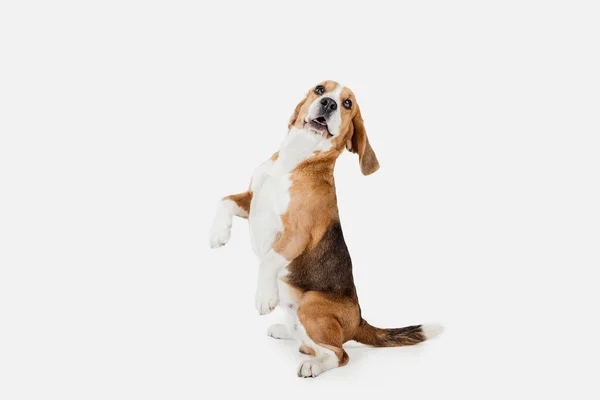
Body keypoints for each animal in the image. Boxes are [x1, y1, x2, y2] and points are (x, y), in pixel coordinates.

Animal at [211, 81, 440, 378]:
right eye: (320, 89)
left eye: (347, 104)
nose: (329, 103)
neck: (296, 160)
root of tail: (359, 320)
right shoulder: (252, 200)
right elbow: (224, 200)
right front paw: (218, 234)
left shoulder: (297, 234)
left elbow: (269, 258)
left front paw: (265, 297)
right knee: (311, 343)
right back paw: (286, 331)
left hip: (310, 306)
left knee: (339, 354)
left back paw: (313, 365)